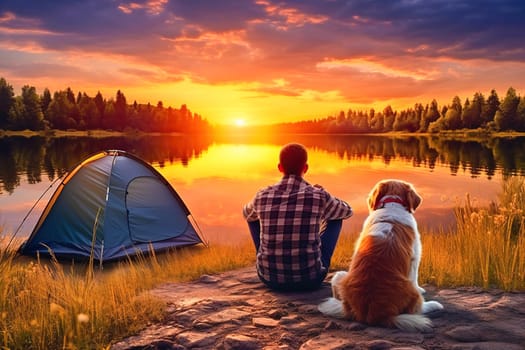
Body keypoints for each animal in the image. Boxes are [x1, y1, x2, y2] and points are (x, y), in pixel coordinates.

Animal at [318, 179, 440, 332]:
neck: (392, 203)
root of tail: (374, 313)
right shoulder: (415, 257)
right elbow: (416, 278)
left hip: (340, 275)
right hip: (413, 294)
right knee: (419, 308)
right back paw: (433, 305)